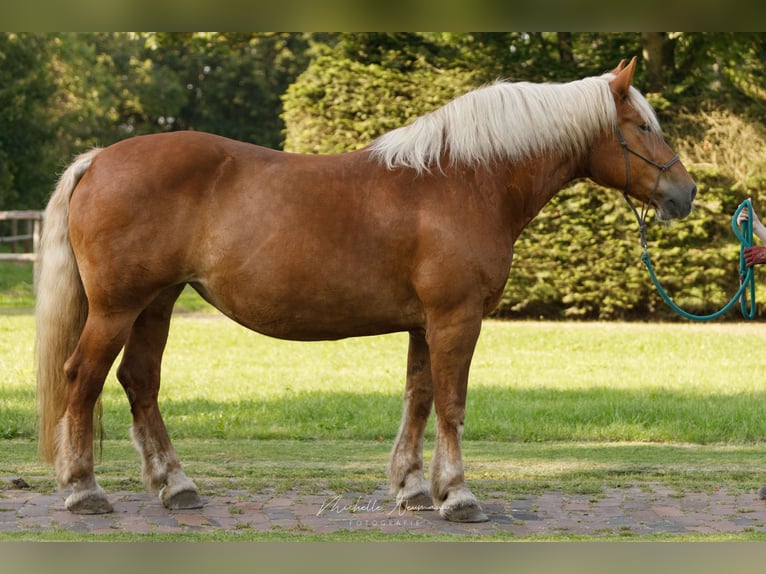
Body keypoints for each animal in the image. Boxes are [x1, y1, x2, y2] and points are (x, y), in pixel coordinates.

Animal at [36, 57, 696, 520]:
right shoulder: (457, 318)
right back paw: (84, 490)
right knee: (83, 378)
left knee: (139, 382)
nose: (684, 193)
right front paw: (459, 496)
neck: (464, 180)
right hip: (117, 308)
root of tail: (99, 159)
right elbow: (452, 403)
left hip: (157, 303)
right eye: (642, 127)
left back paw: (176, 486)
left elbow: (419, 398)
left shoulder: (426, 324)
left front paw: (414, 488)